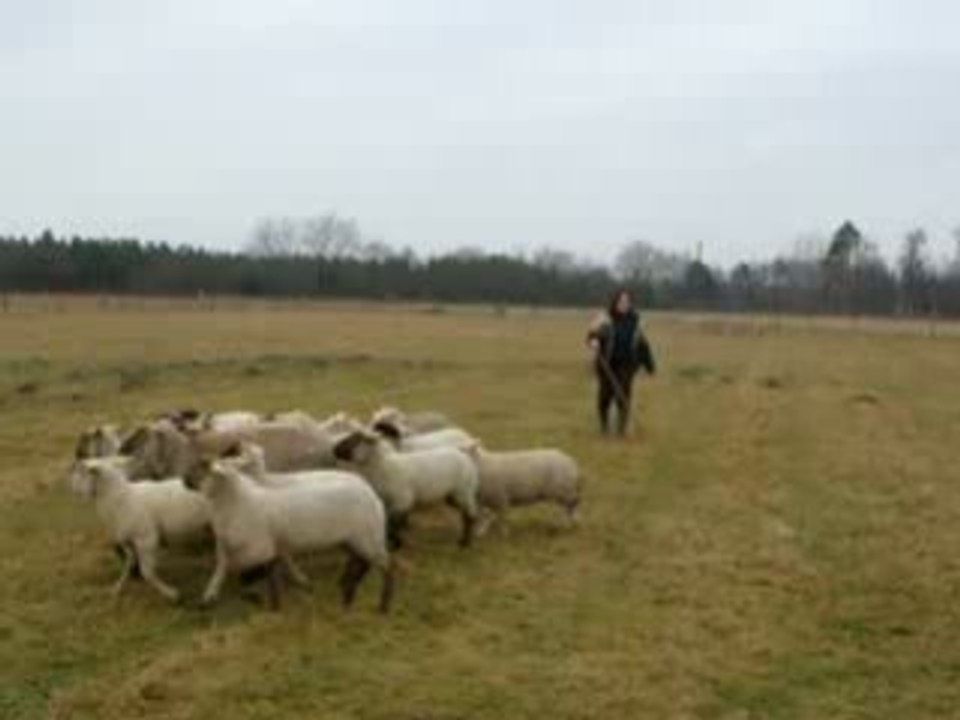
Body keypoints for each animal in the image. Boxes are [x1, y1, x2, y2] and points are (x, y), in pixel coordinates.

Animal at [72, 456, 212, 603]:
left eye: (82, 471)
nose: (71, 487)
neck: (122, 499)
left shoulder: (146, 539)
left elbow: (147, 573)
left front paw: (171, 593)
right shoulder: (129, 542)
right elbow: (129, 563)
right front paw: (117, 588)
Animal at [182, 457, 394, 612]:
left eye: (204, 467)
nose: (184, 480)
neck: (239, 502)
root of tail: (371, 492)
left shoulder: (260, 550)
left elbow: (253, 576)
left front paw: (263, 599)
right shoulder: (229, 548)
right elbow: (222, 569)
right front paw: (209, 596)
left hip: (368, 537)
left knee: (386, 568)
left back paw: (382, 605)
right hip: (353, 539)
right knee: (359, 561)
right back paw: (346, 586)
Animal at [333, 430, 480, 549]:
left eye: (355, 440)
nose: (334, 449)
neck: (384, 467)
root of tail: (465, 455)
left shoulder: (402, 501)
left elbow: (393, 524)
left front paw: (396, 544)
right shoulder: (387, 503)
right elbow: (389, 524)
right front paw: (394, 542)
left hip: (464, 491)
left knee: (470, 515)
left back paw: (465, 542)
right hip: (453, 496)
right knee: (466, 513)